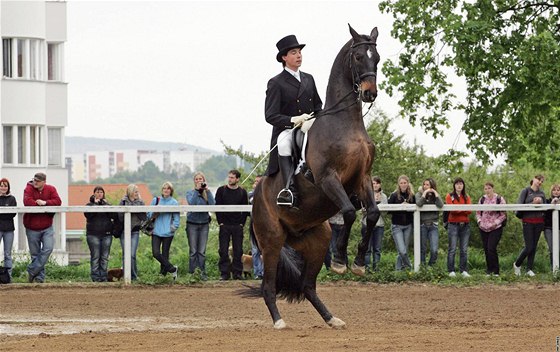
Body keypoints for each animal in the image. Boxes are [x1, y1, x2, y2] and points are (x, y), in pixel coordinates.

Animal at [253, 25, 380, 330]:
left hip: (316, 239)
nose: (369, 94)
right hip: (272, 241)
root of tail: (253, 198)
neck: (345, 123)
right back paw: (279, 322)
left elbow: (372, 214)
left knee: (308, 286)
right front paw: (340, 262)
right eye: (358, 57)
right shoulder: (328, 179)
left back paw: (332, 319)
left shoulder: (363, 178)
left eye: (377, 58)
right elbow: (349, 212)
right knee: (268, 286)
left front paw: (358, 263)